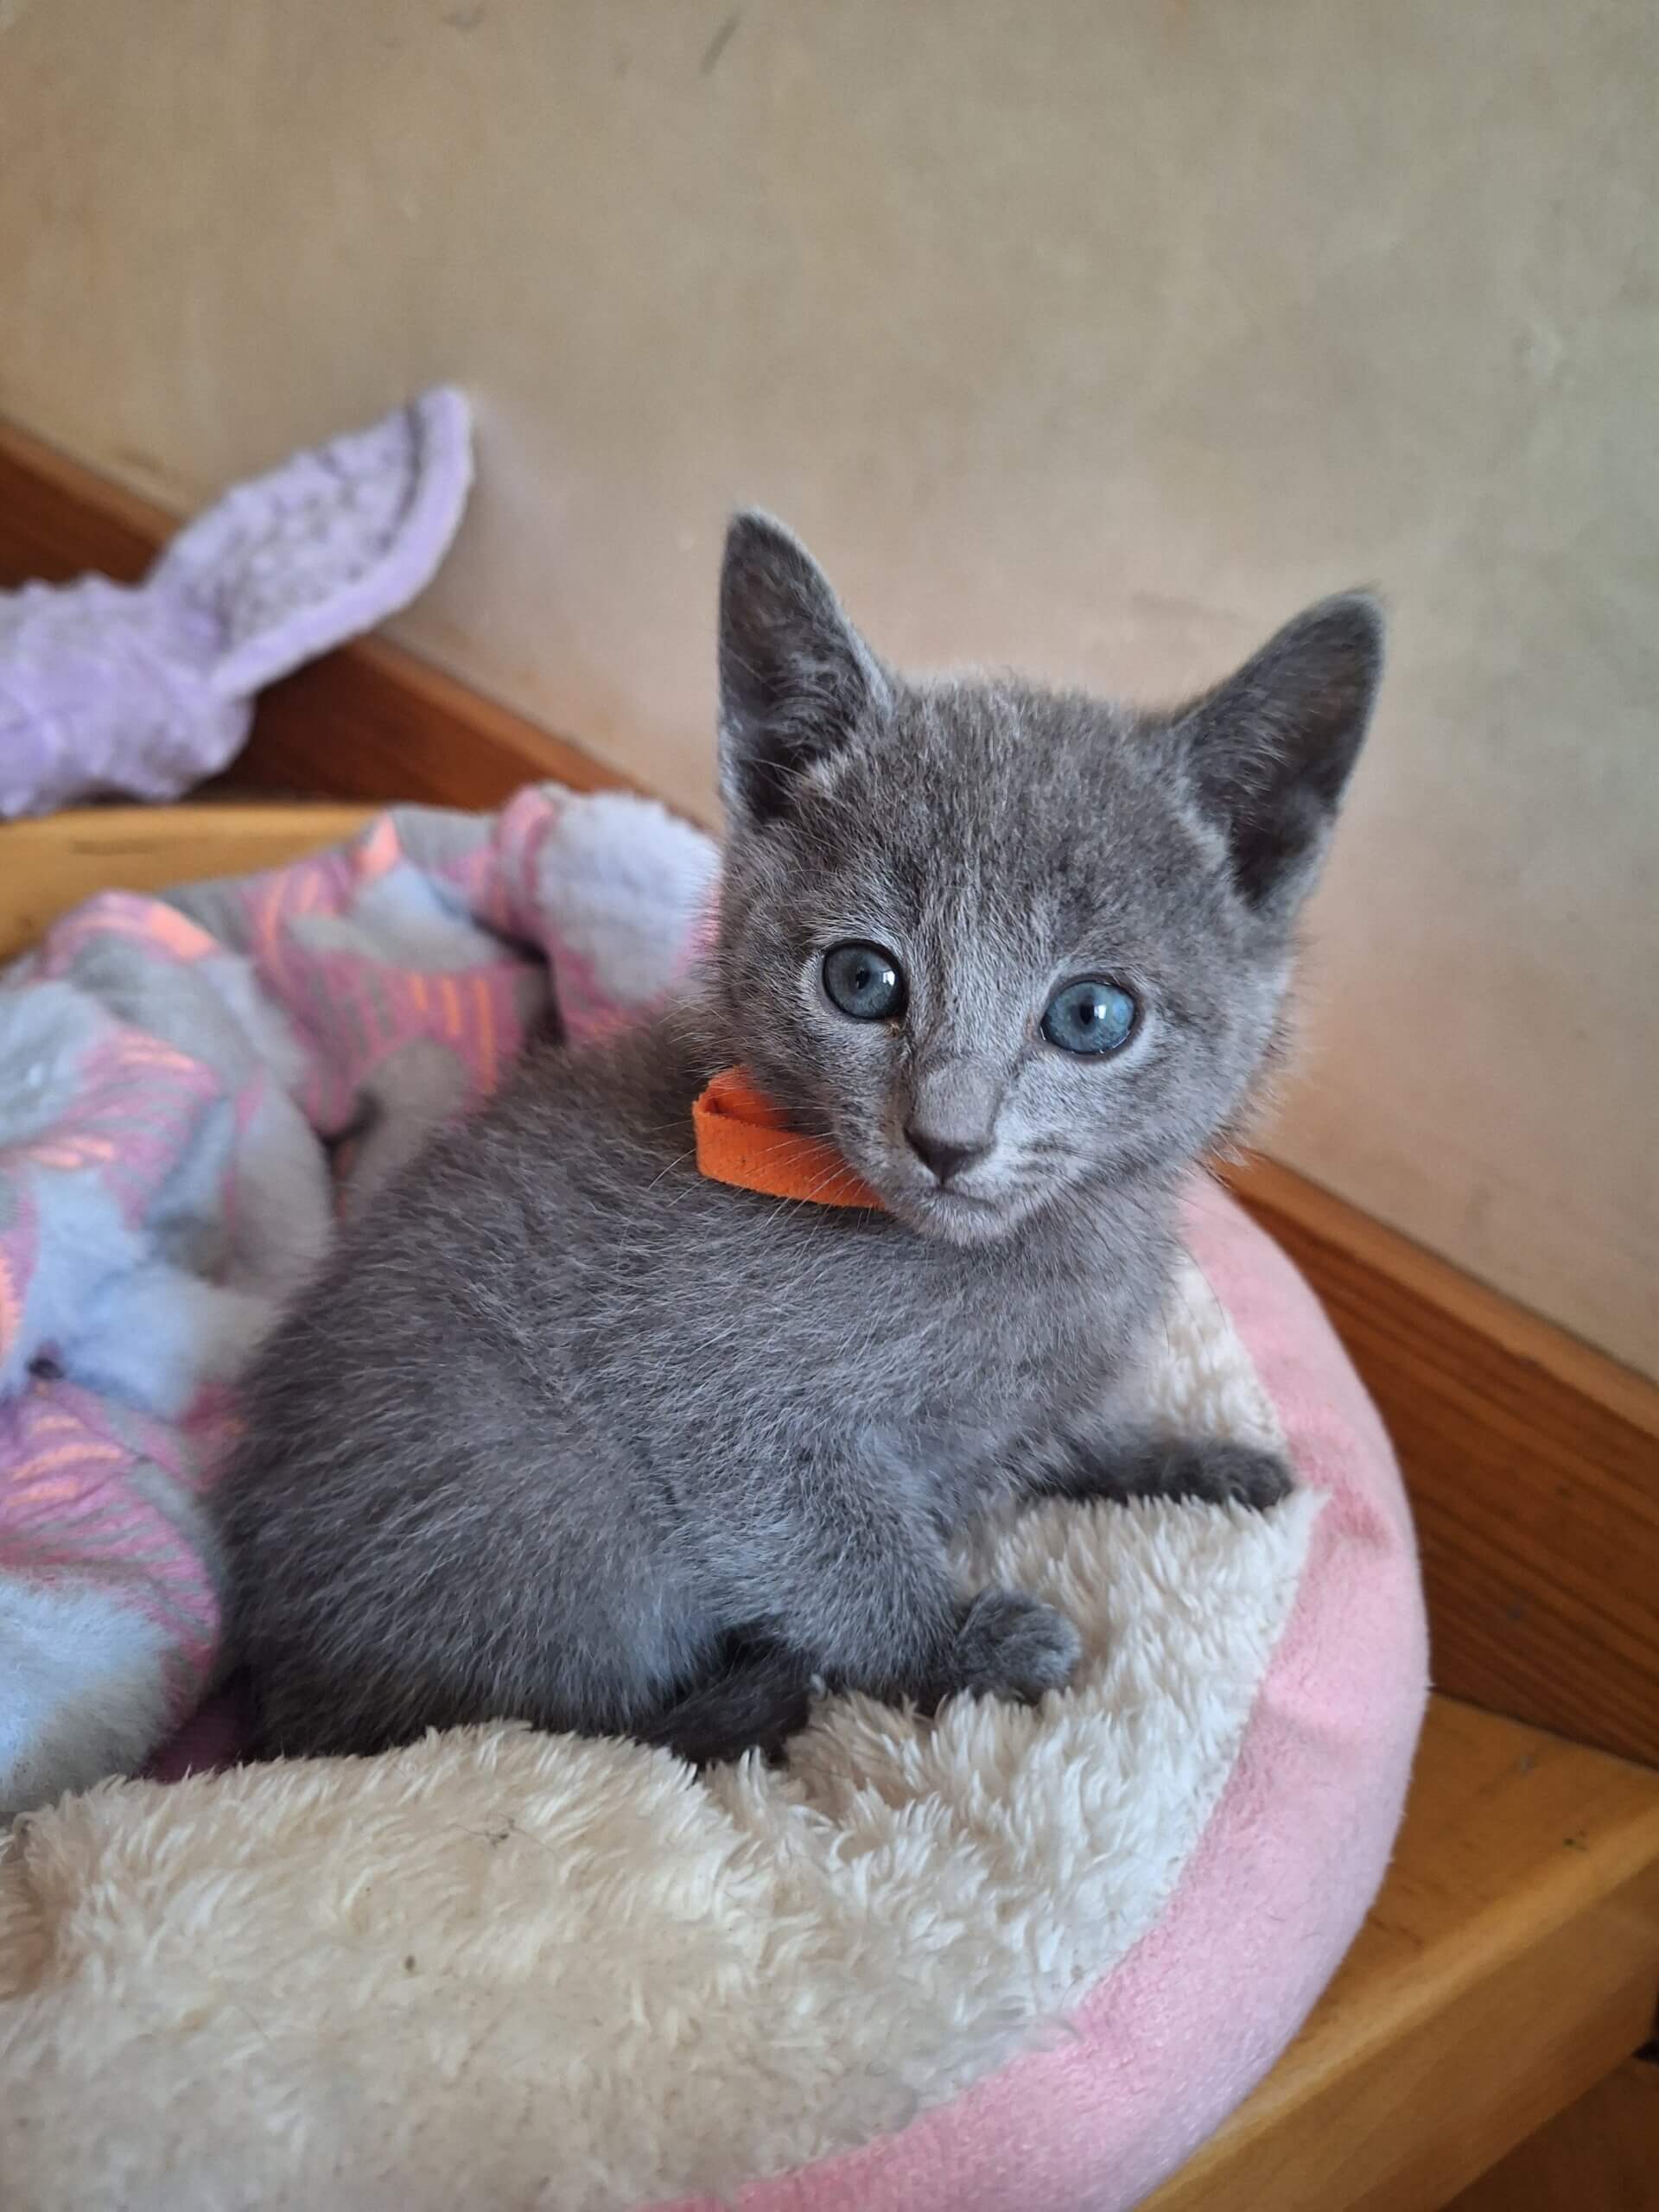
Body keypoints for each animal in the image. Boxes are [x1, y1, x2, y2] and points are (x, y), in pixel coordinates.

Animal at [219, 512, 1383, 1766]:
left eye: (1091, 1014)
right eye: (862, 981)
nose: (946, 1138)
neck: (1003, 1264)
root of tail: (283, 1710)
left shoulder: (1031, 1397)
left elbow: (1065, 1433)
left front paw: (1194, 1462)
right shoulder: (721, 1407)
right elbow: (830, 1550)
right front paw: (960, 1647)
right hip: (540, 1501)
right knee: (579, 1739)